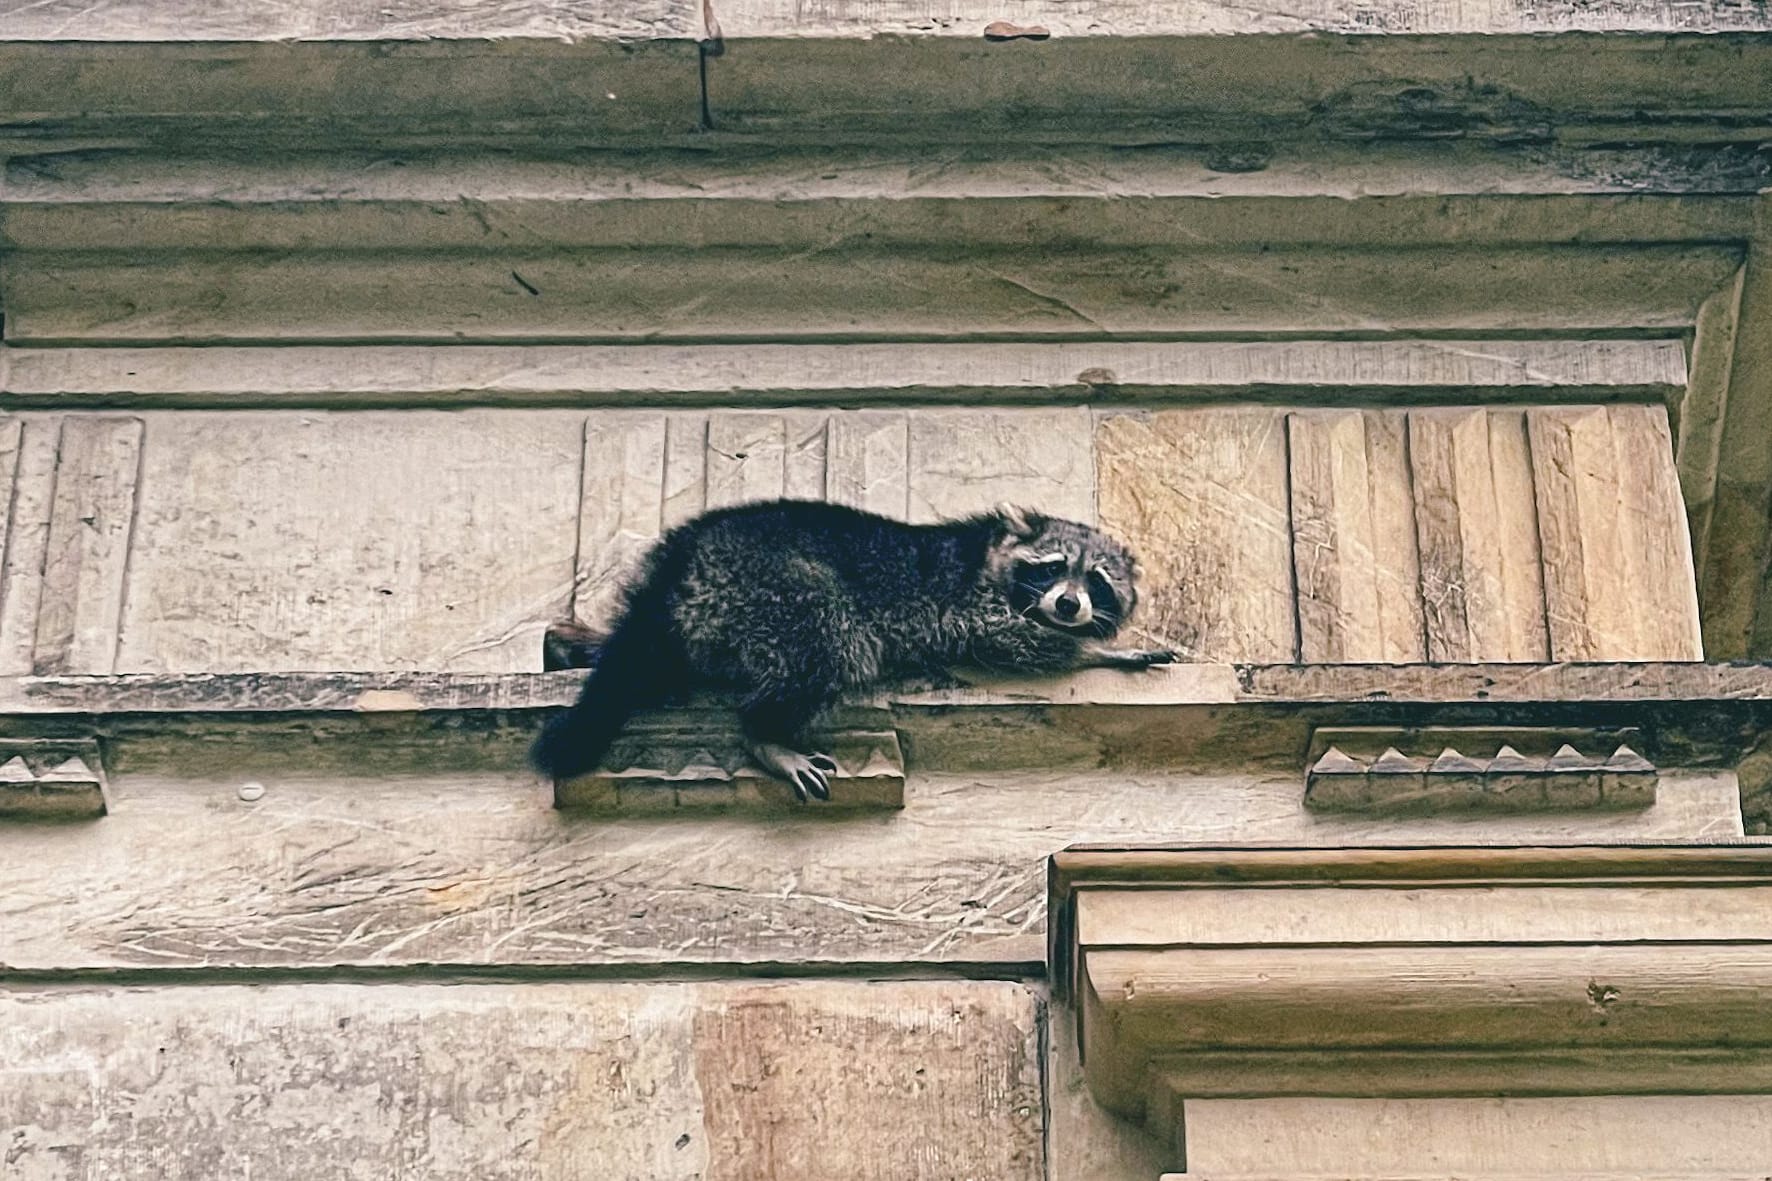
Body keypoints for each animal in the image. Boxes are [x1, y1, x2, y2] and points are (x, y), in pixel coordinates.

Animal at [528, 496, 1162, 801]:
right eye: (1053, 568)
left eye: (1096, 581)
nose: (1069, 606)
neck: (988, 550)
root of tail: (684, 557)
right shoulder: (965, 601)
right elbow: (1007, 639)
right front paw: (1100, 652)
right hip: (773, 585)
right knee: (831, 642)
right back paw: (766, 732)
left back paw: (571, 646)